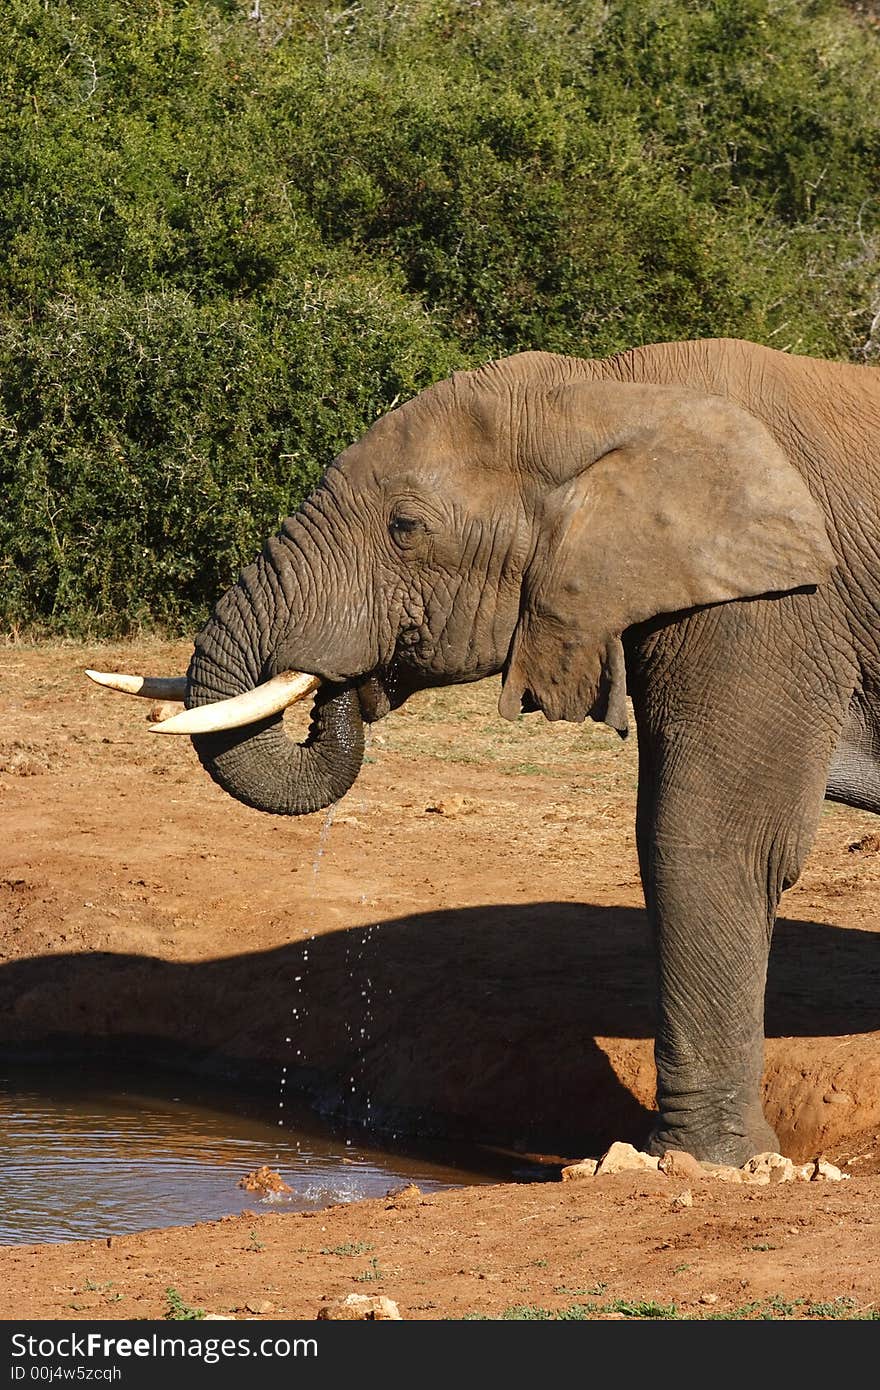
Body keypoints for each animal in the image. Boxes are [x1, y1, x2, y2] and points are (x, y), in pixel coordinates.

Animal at [92, 339, 873, 1173]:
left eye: (405, 527)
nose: (346, 687)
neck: (613, 389)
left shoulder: (773, 605)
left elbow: (714, 840)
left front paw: (702, 1164)